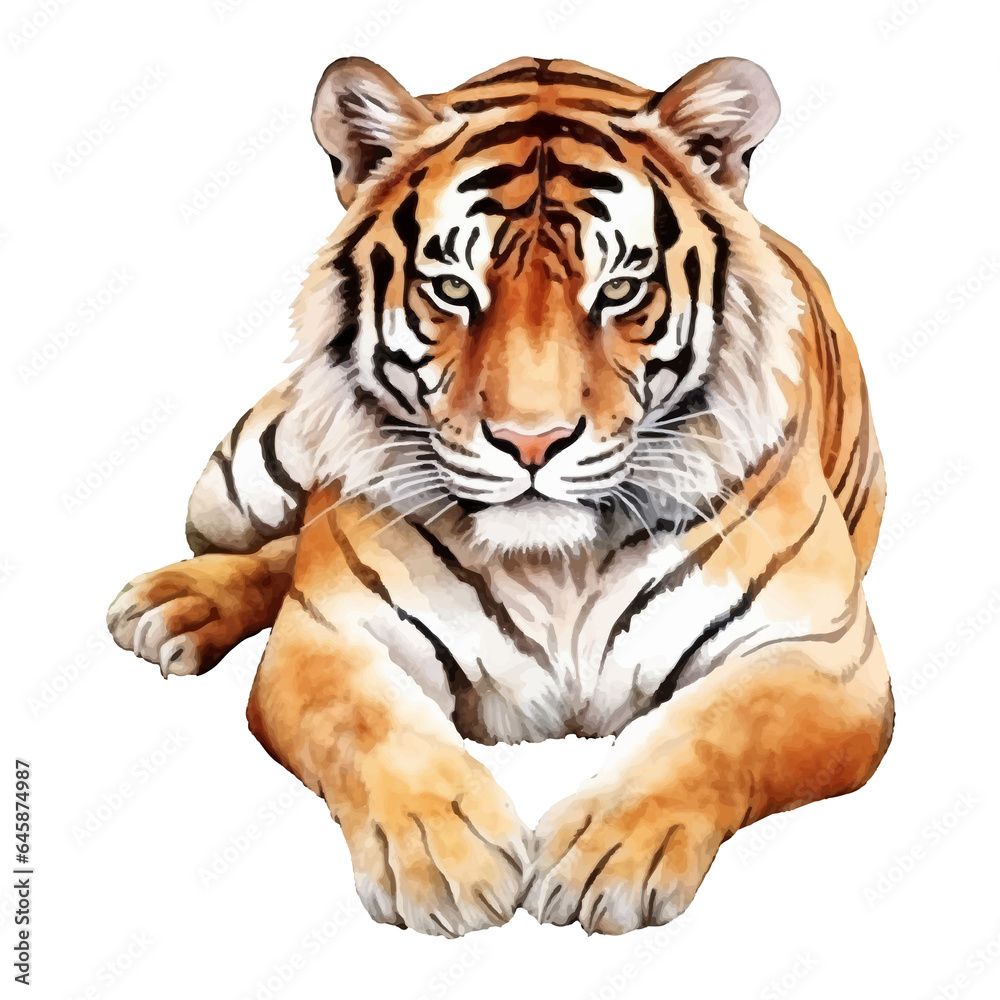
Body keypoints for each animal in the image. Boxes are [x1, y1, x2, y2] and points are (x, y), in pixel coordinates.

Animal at [107, 55, 893, 937]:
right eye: (453, 288)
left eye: (619, 290)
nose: (533, 442)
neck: (561, 567)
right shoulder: (330, 632)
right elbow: (369, 722)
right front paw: (444, 858)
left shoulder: (824, 653)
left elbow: (711, 727)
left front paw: (608, 852)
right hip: (232, 496)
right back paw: (176, 602)